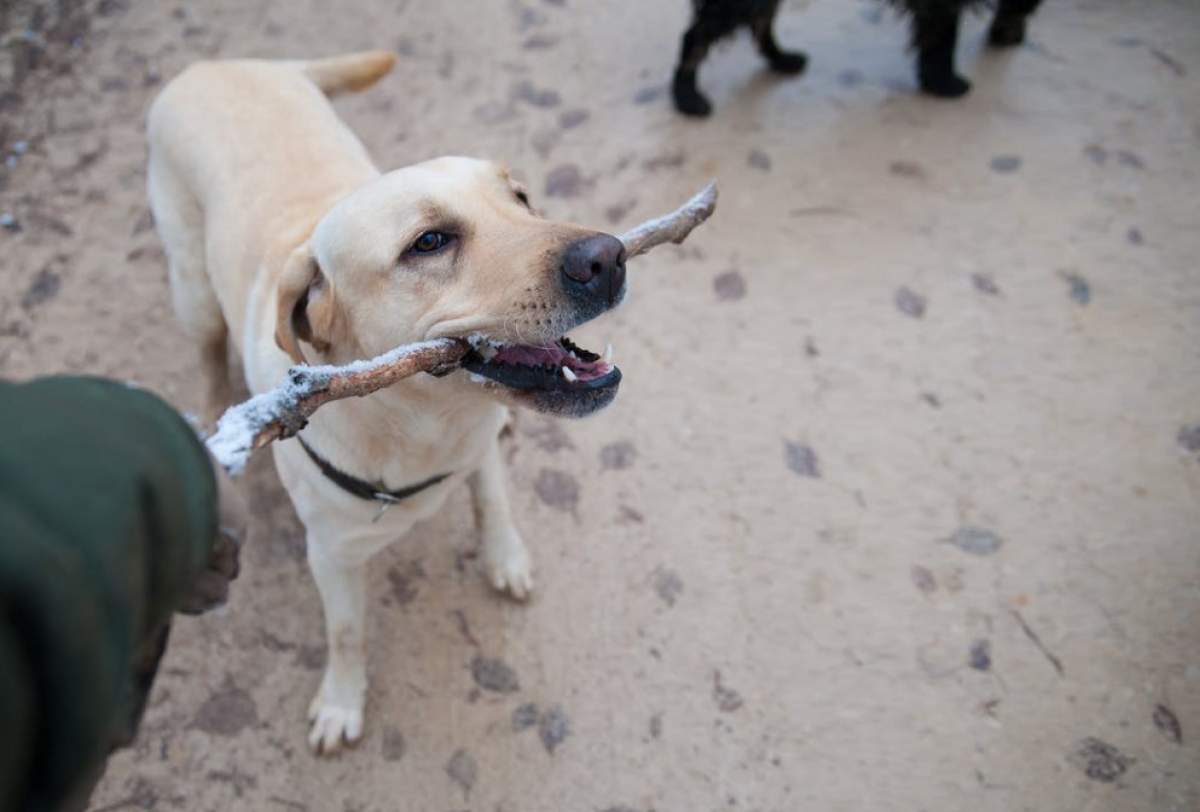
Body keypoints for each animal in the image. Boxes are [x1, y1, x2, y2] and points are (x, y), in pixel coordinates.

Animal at [145, 52, 624, 753]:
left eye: (520, 197)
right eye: (429, 242)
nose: (609, 257)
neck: (425, 424)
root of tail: (218, 63)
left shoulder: (476, 447)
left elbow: (492, 498)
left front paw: (504, 555)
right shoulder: (331, 557)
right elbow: (347, 634)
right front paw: (342, 702)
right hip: (190, 287)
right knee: (207, 350)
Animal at [676, 0, 1041, 116]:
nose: (1011, 34)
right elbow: (942, 32)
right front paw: (944, 81)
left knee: (760, 21)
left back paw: (782, 59)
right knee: (696, 36)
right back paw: (687, 95)